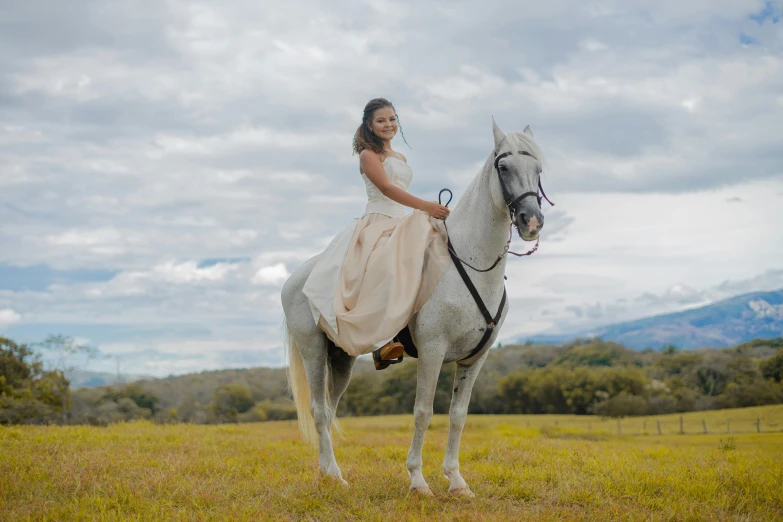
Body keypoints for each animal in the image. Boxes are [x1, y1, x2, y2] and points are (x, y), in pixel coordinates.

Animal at [280, 119, 544, 496]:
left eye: (538, 170)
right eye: (504, 167)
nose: (531, 222)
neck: (471, 263)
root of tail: (295, 278)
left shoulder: (475, 358)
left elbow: (458, 415)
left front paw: (457, 481)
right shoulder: (433, 350)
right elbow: (423, 412)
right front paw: (418, 480)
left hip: (341, 358)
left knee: (329, 411)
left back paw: (328, 472)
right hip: (313, 351)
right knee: (318, 411)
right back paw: (335, 477)